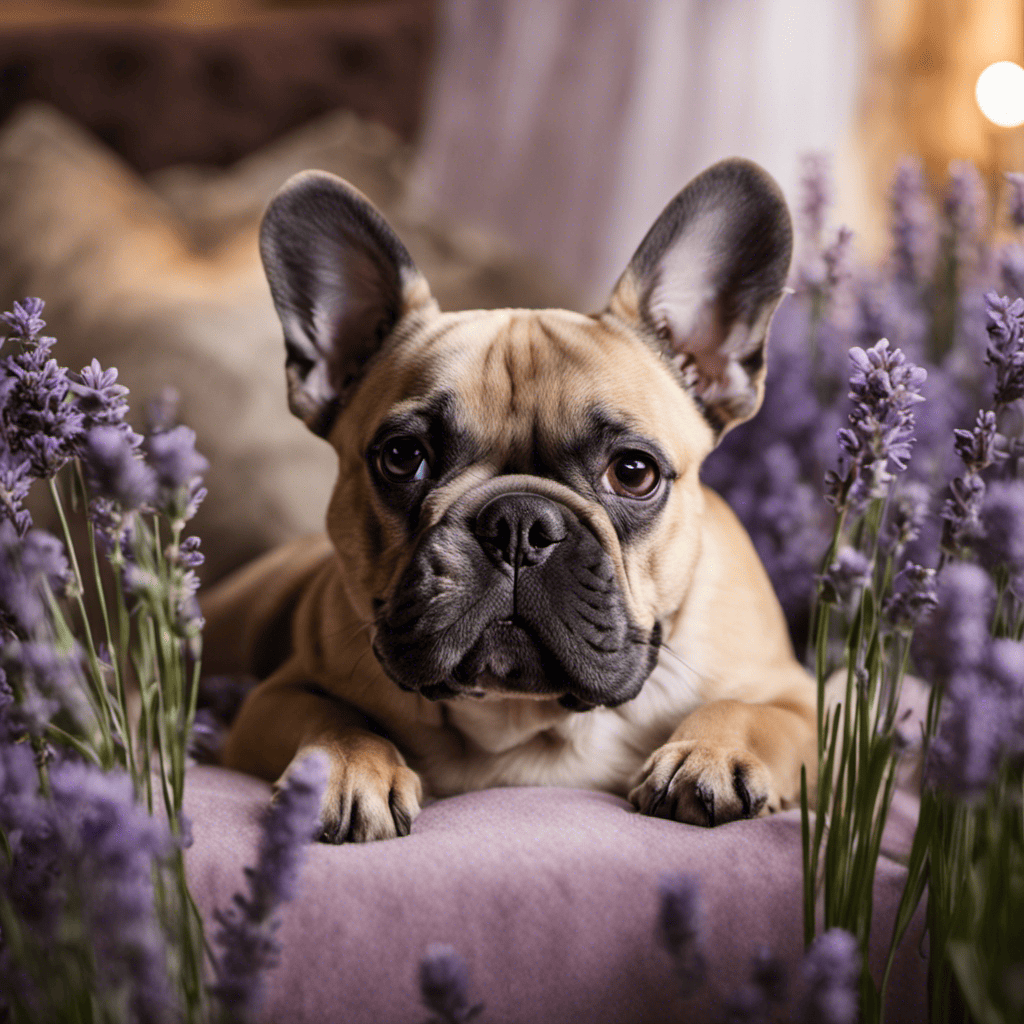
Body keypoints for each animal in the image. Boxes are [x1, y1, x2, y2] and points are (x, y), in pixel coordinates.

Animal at [201, 157, 815, 839]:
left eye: (634, 472)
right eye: (402, 457)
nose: (518, 525)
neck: (527, 719)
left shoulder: (804, 696)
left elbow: (752, 711)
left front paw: (710, 753)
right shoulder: (274, 699)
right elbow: (334, 717)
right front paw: (345, 767)